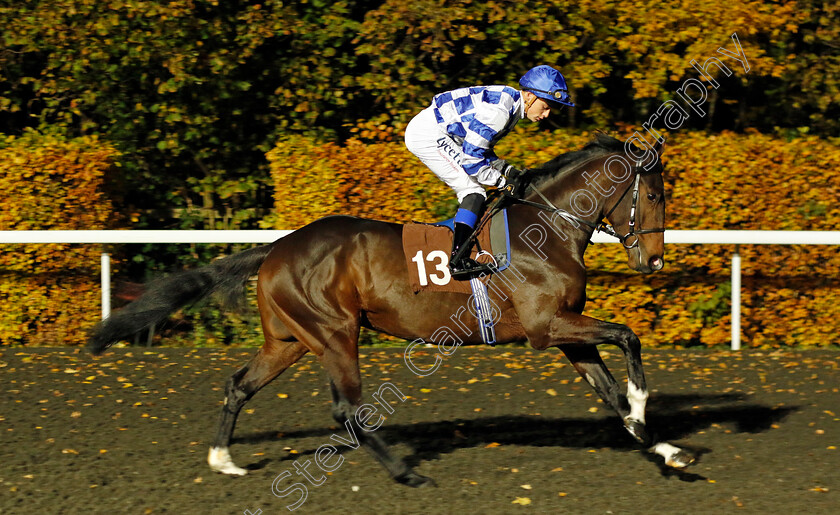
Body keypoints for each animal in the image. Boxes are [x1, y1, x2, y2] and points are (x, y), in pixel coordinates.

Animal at [90, 133, 696, 488]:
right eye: (656, 195)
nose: (655, 259)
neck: (546, 226)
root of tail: (279, 246)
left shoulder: (566, 332)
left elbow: (609, 391)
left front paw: (665, 447)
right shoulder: (547, 328)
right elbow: (629, 336)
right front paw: (645, 408)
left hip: (289, 340)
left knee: (239, 384)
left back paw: (223, 459)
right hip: (336, 332)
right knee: (346, 408)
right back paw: (407, 473)